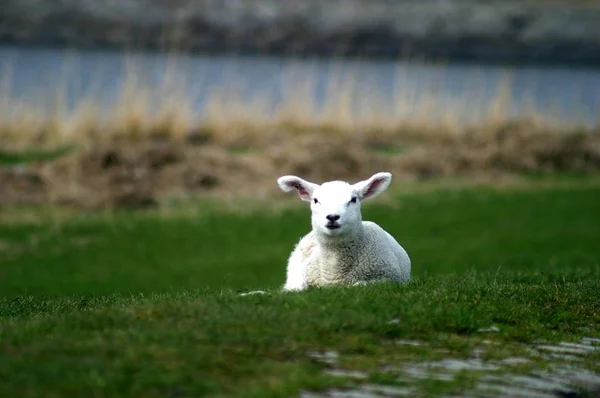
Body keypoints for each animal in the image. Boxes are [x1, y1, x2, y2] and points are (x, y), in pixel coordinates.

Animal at [278, 172, 410, 292]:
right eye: (315, 200)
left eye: (353, 199)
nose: (332, 216)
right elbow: (297, 288)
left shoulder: (389, 279)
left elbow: (360, 285)